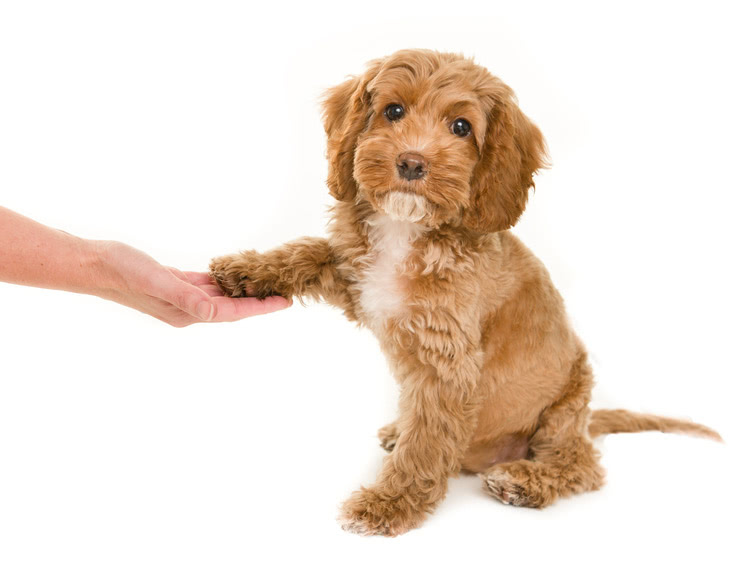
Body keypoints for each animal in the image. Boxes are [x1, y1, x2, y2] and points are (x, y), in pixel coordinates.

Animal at [210, 50, 720, 536]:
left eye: (461, 127)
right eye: (393, 110)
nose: (411, 163)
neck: (406, 230)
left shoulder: (447, 367)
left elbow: (425, 445)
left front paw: (388, 505)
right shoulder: (361, 282)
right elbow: (311, 251)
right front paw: (249, 271)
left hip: (565, 408)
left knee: (582, 466)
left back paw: (524, 480)